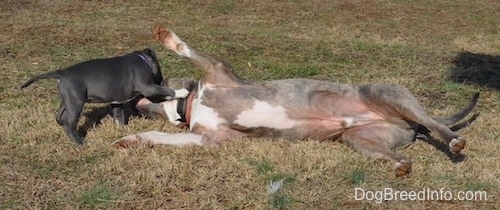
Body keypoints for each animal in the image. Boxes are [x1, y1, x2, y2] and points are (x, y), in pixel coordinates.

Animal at [21, 47, 189, 144]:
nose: (162, 79)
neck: (141, 59)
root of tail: (62, 73)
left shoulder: (117, 101)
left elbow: (119, 116)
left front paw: (122, 130)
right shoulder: (148, 87)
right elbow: (167, 91)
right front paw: (183, 92)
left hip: (66, 100)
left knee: (59, 115)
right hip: (76, 102)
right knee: (69, 124)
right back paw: (80, 143)